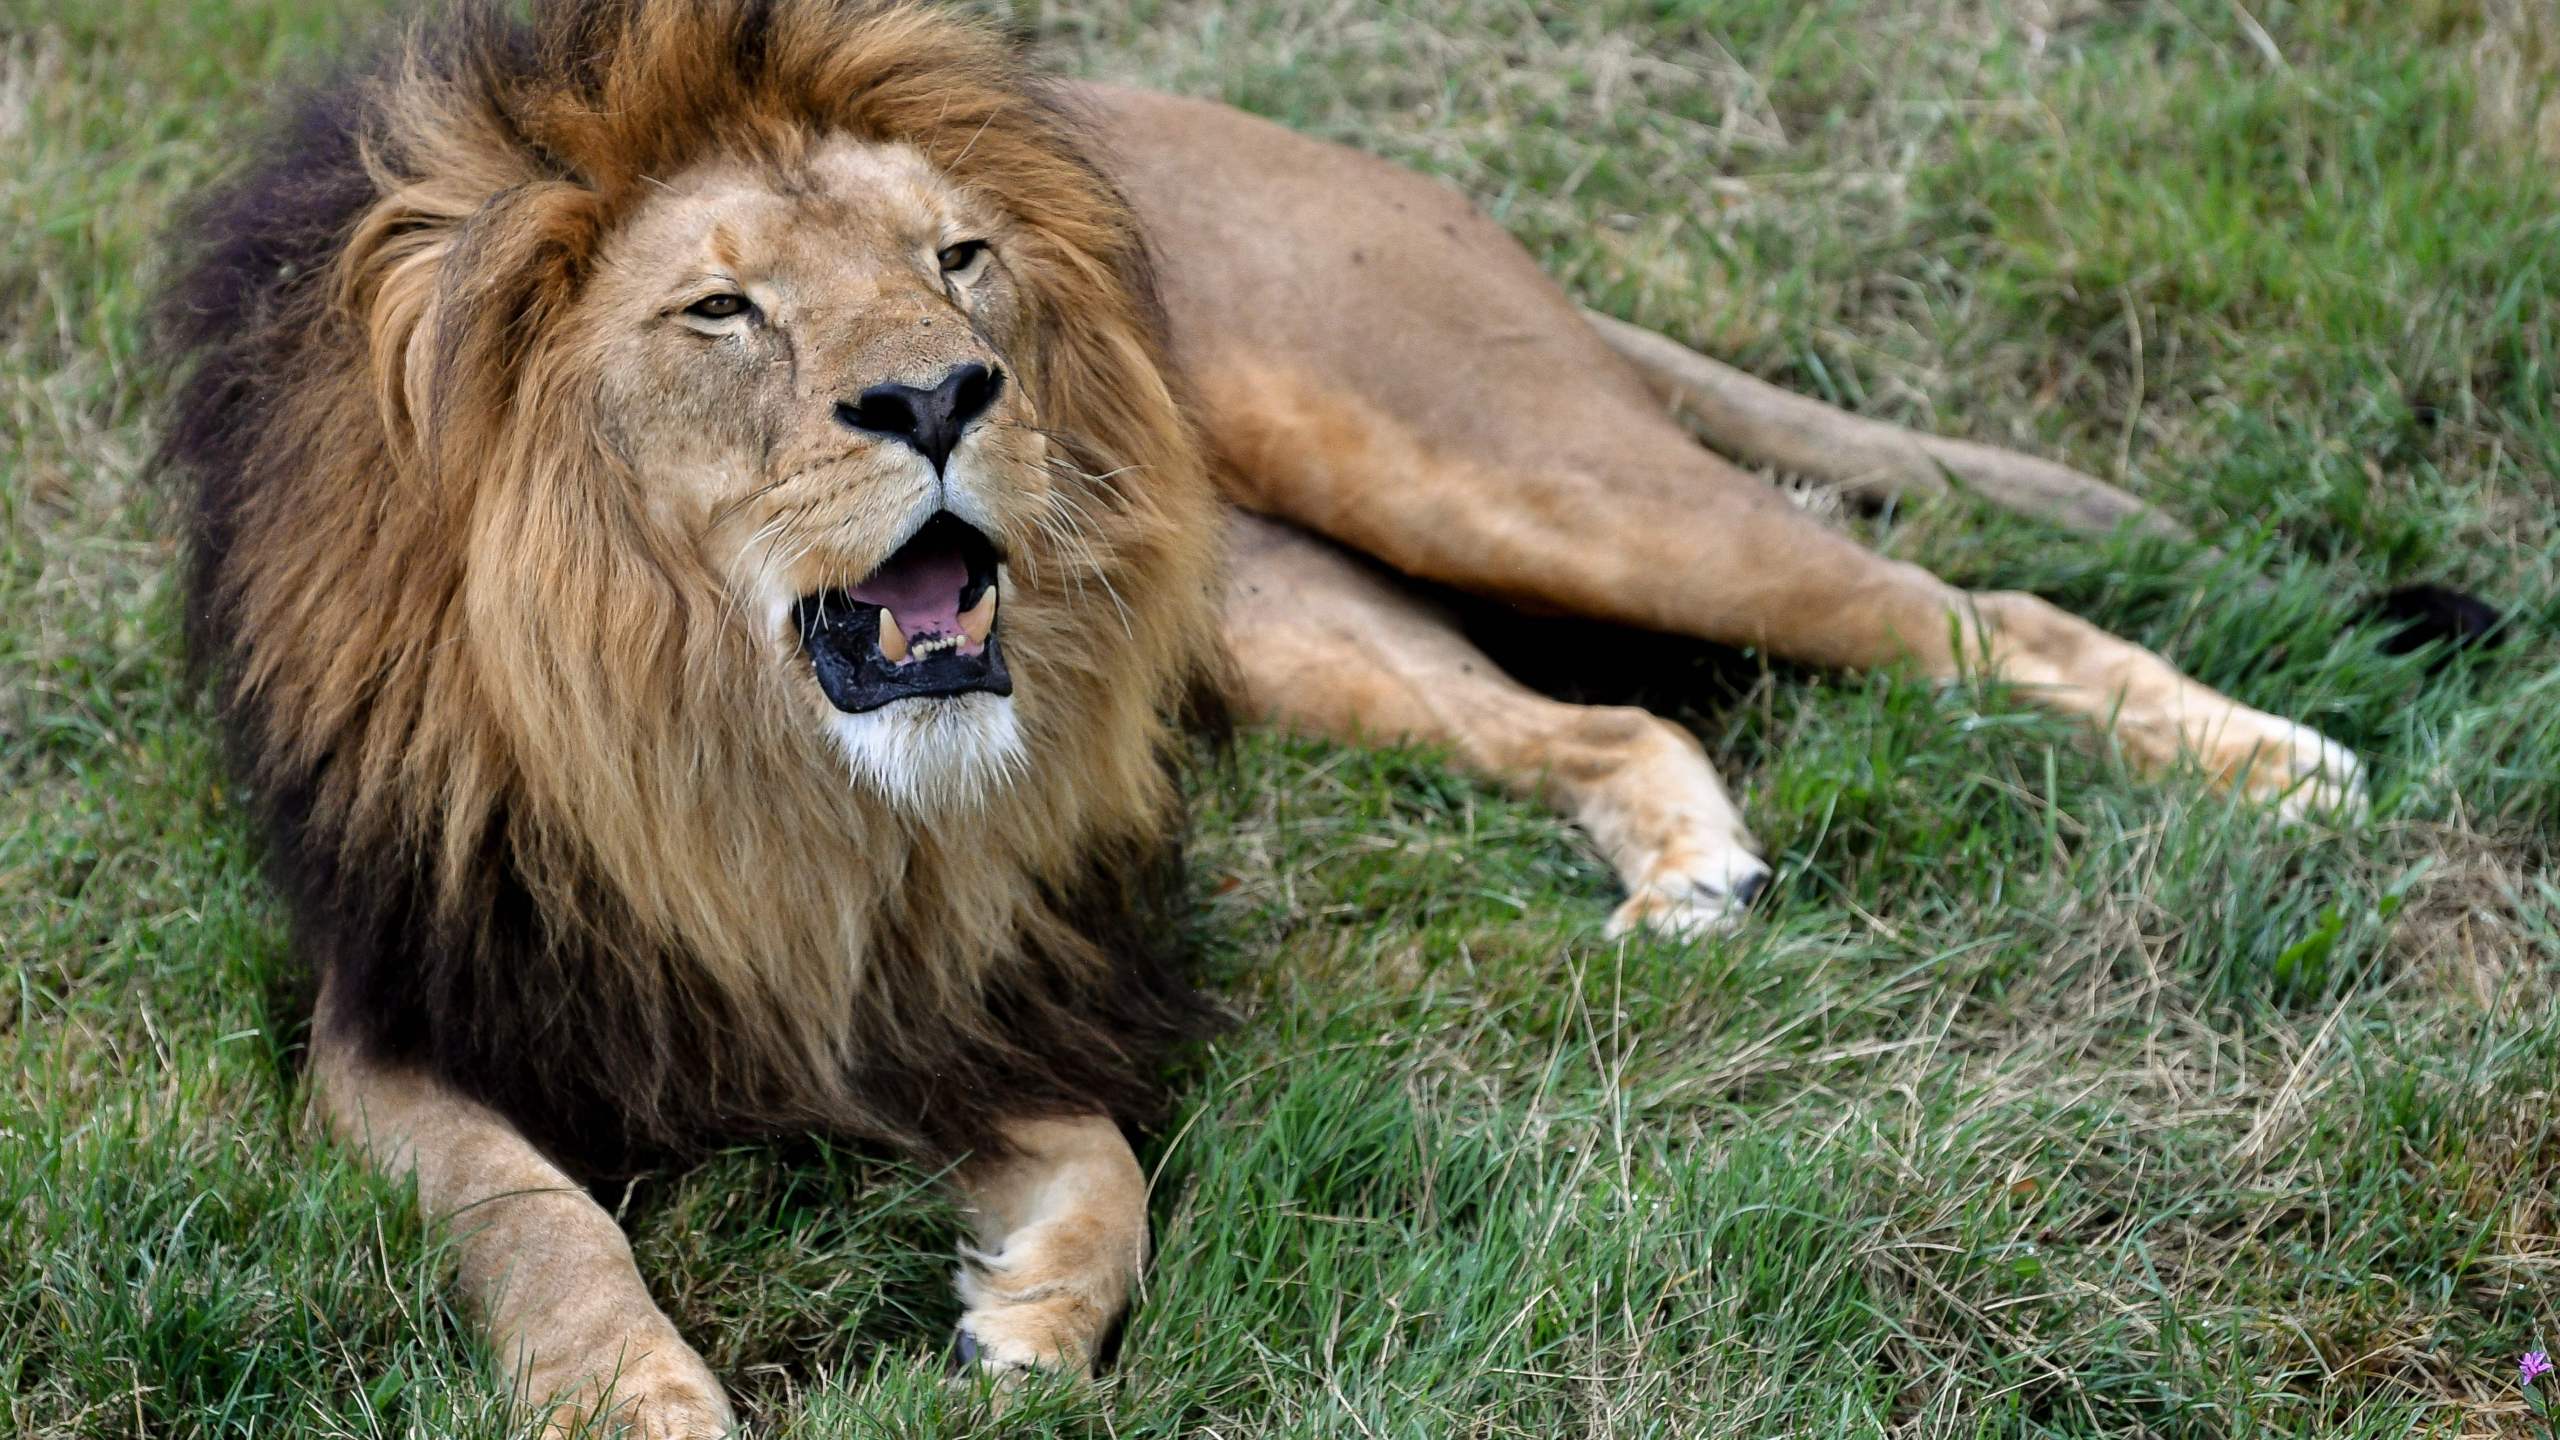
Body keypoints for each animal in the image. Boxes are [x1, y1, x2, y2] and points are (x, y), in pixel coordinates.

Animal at [160, 0, 2385, 1424]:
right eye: (720, 310)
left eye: (955, 259)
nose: (945, 393)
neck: (732, 745)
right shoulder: (402, 1017)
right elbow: (537, 1221)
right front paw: (644, 1398)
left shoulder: (987, 963)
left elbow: (1107, 1167)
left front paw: (1024, 1330)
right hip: (1289, 614)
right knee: (1610, 724)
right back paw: (1694, 880)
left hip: (1509, 471)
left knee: (1970, 612)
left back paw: (2278, 767)